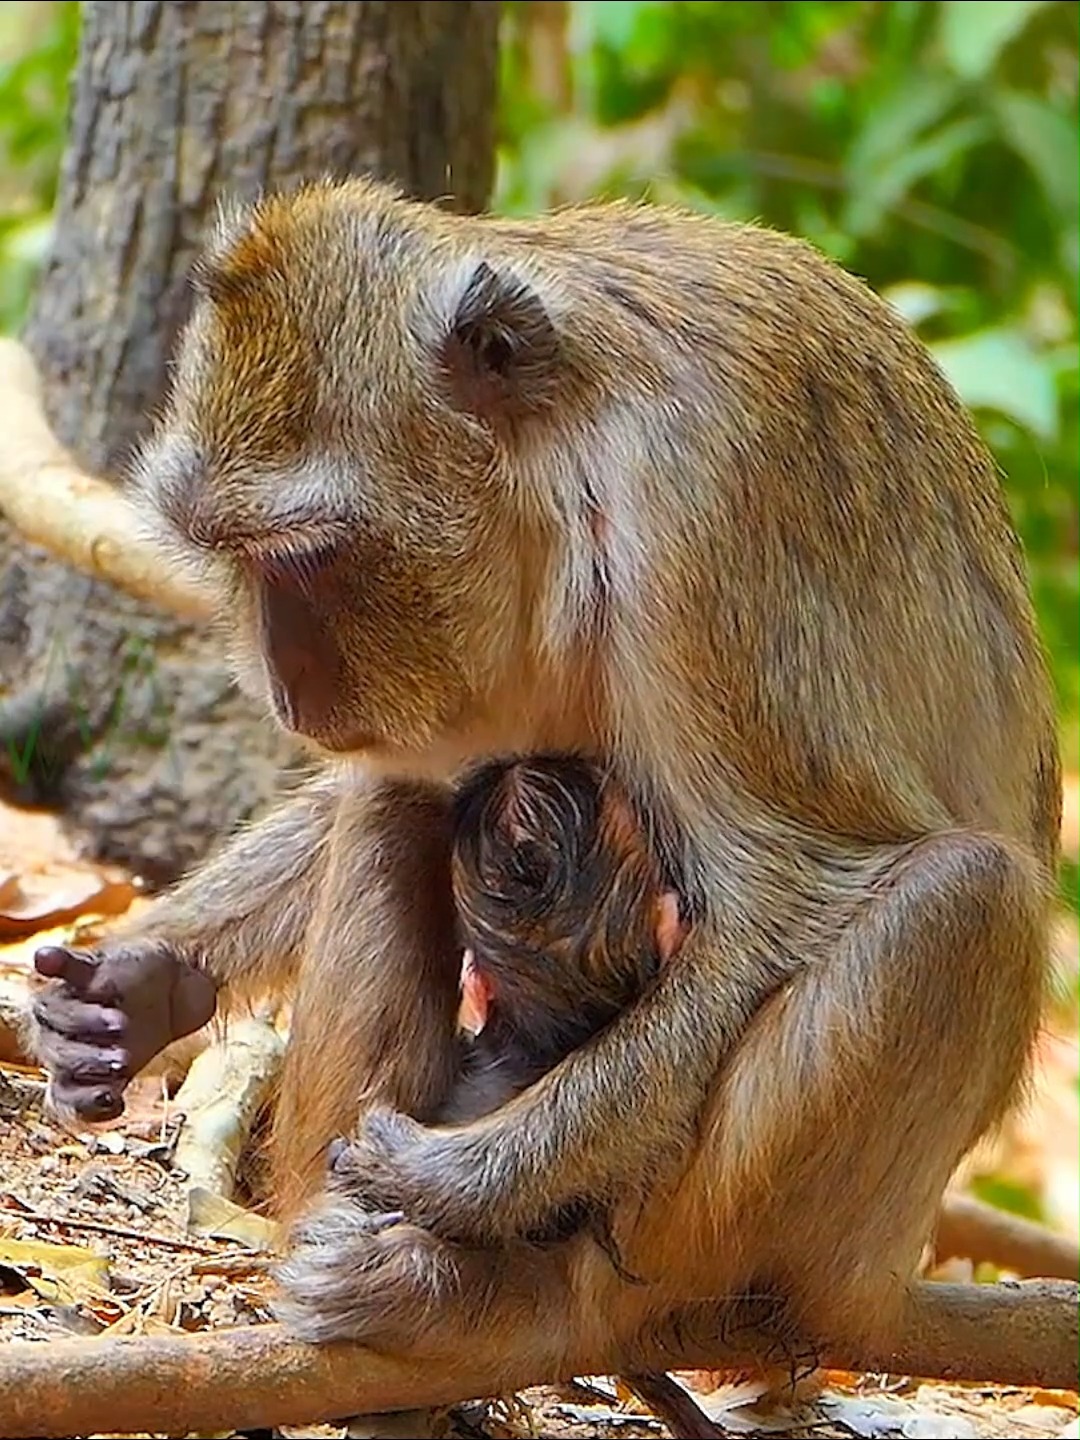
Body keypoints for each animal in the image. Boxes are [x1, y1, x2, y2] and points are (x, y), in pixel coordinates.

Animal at [27, 176, 1059, 1386]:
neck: (575, 444)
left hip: (728, 1232)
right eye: (231, 558)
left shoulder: (697, 510)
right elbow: (419, 773)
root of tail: (875, 1285)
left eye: (306, 557)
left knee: (961, 902)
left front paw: (452, 1177)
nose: (284, 679)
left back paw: (513, 1301)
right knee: (397, 804)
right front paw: (146, 979)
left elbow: (783, 904)